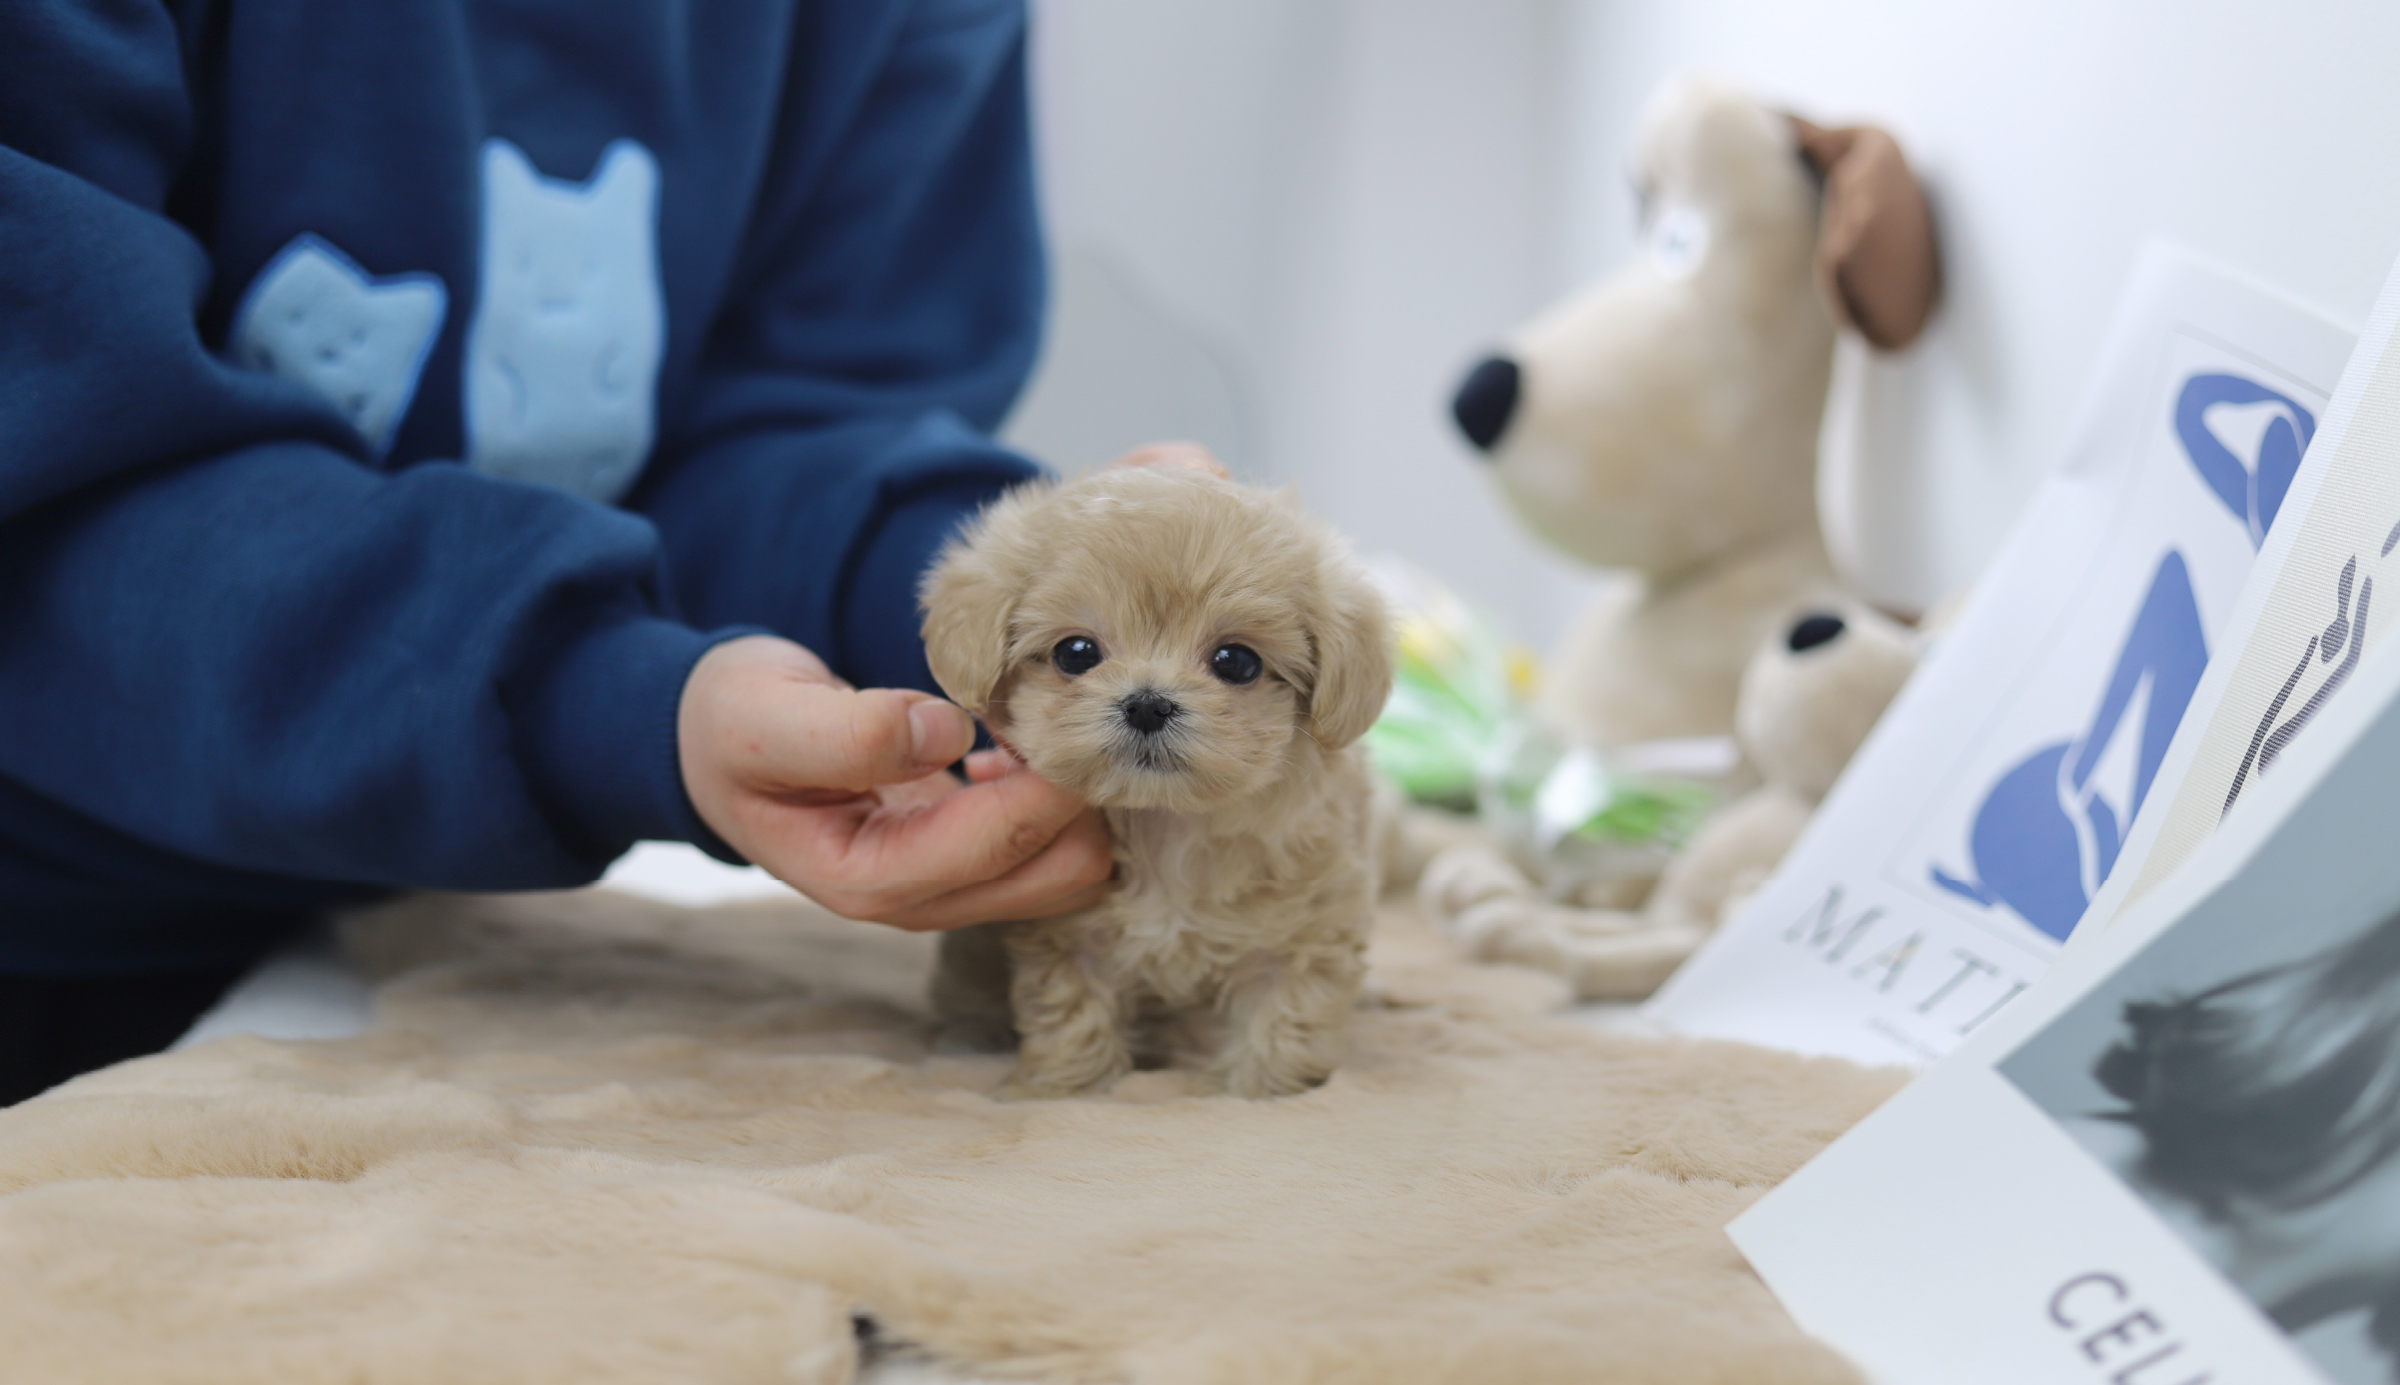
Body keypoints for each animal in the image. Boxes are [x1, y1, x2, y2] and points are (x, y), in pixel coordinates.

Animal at [921, 470, 1401, 1094]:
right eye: (1076, 652)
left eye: (1236, 662)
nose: (1147, 704)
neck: (1165, 824)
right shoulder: (1071, 941)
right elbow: (1073, 1018)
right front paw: (1070, 1087)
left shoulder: (1304, 933)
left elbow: (1283, 1026)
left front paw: (1264, 1091)